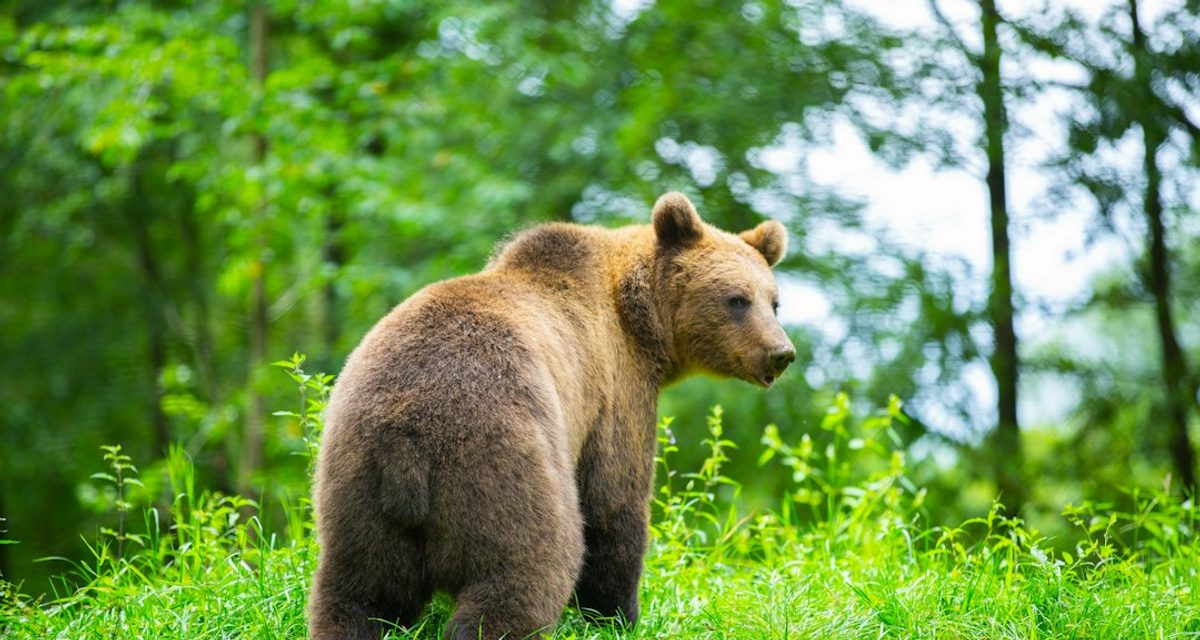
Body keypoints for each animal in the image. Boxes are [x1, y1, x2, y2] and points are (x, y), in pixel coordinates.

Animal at [307, 192, 795, 640]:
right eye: (737, 299)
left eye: (773, 301)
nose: (781, 353)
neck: (641, 323)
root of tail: (406, 437)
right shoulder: (615, 390)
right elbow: (614, 502)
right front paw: (619, 615)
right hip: (499, 459)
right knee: (530, 566)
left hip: (355, 485)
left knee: (359, 593)